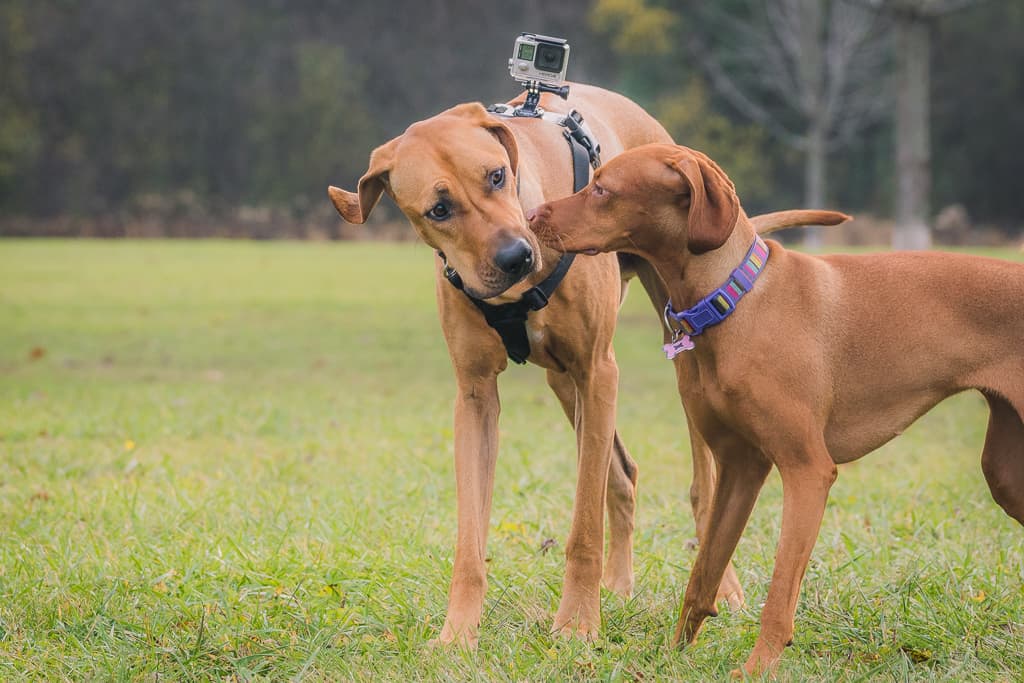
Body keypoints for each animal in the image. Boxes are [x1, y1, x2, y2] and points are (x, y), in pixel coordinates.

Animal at [329, 85, 839, 647]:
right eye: (439, 209)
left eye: (496, 176)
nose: (517, 257)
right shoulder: (476, 396)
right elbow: (470, 539)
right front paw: (458, 634)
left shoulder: (599, 372)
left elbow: (584, 530)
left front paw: (575, 623)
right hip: (563, 383)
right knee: (621, 475)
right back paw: (618, 586)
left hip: (672, 357)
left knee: (703, 488)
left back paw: (721, 589)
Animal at [528, 141, 1024, 675]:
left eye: (601, 189)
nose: (531, 216)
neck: (732, 299)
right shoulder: (740, 467)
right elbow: (703, 573)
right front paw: (671, 655)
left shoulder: (808, 470)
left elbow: (780, 591)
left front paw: (757, 667)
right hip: (1005, 473)